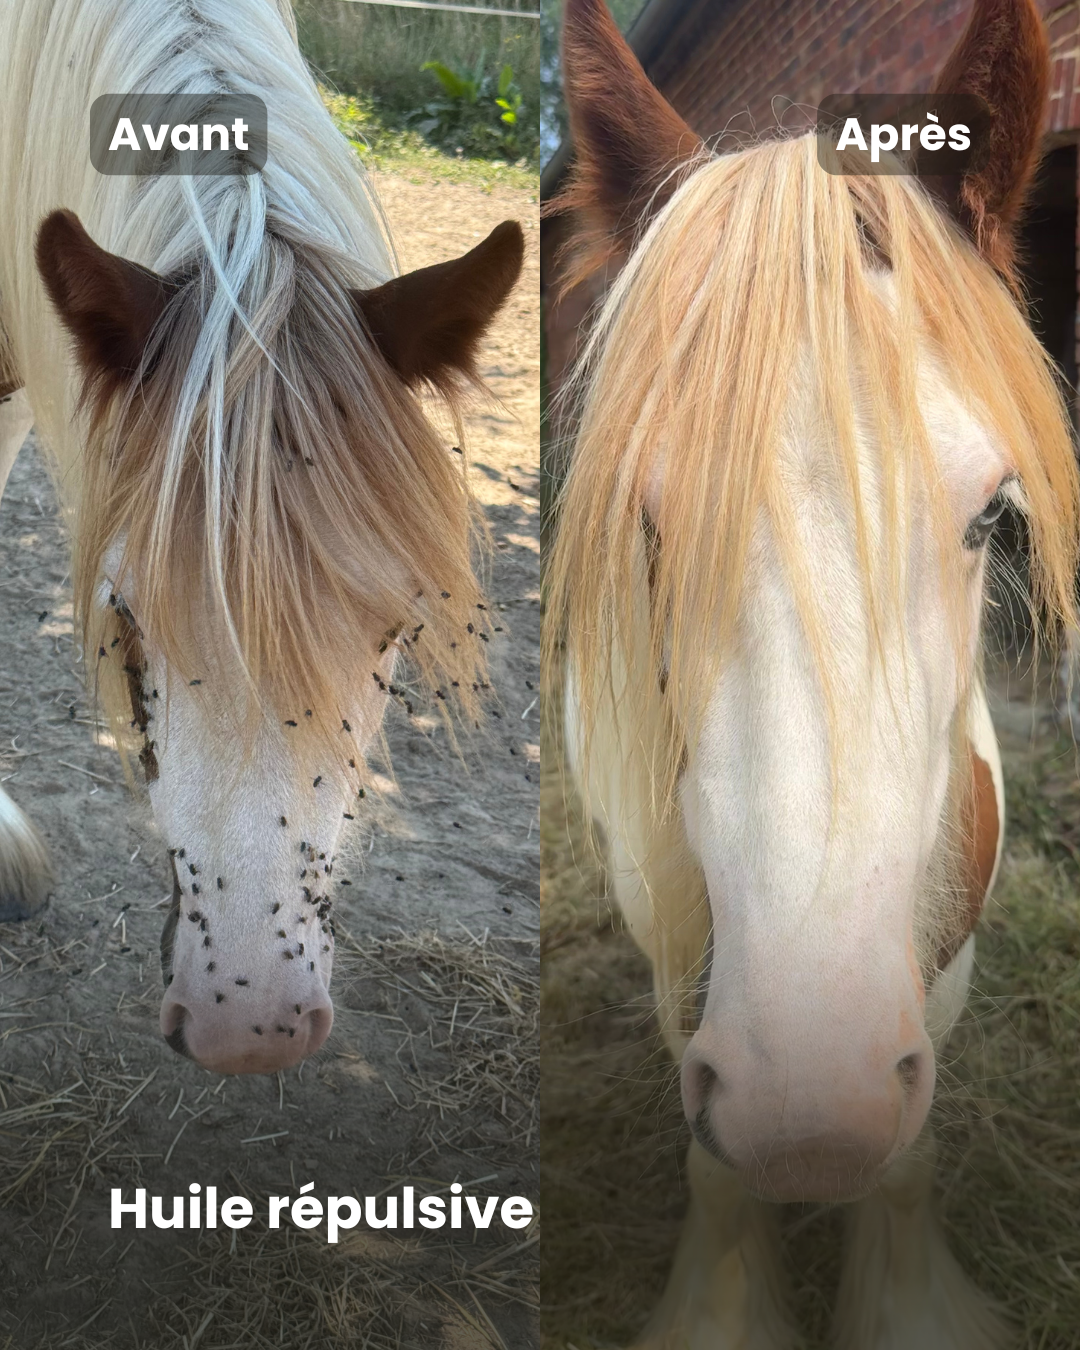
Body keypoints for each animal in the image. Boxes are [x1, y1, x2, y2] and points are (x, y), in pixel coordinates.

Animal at [546, 0, 1079, 1344]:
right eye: (646, 528)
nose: (810, 1120)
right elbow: (715, 1161)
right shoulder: (686, 957)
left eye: (992, 516)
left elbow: (908, 1154)